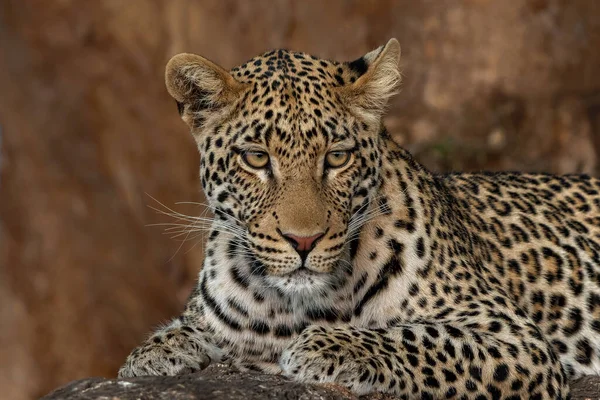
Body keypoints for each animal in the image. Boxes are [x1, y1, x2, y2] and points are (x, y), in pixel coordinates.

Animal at [116, 38, 600, 400]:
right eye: (256, 158)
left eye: (337, 157)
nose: (303, 241)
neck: (293, 308)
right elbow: (188, 328)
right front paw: (155, 353)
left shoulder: (516, 339)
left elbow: (417, 336)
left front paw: (325, 346)